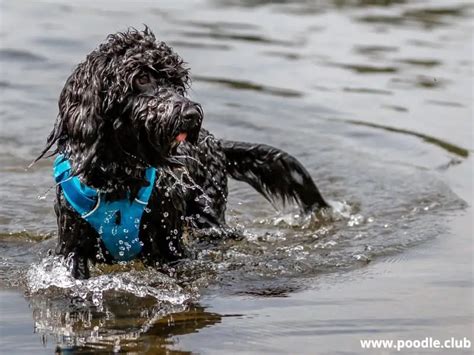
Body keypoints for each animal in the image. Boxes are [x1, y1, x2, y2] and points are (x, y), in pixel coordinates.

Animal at [35, 27, 328, 280]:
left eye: (177, 82)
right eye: (142, 78)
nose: (191, 114)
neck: (120, 175)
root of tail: (215, 142)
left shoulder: (169, 244)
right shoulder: (72, 247)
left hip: (207, 219)